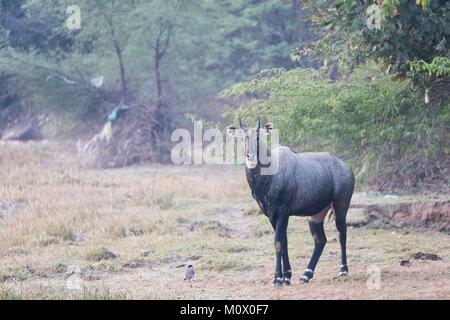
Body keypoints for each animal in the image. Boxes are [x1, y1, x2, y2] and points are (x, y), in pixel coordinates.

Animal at [229, 119, 356, 286]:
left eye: (258, 137)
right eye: (243, 138)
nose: (250, 156)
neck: (271, 175)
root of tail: (347, 167)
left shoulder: (283, 211)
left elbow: (278, 242)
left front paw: (277, 279)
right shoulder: (271, 215)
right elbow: (284, 242)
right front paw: (287, 277)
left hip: (341, 207)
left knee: (342, 234)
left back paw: (343, 270)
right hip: (315, 216)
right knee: (320, 240)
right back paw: (306, 275)